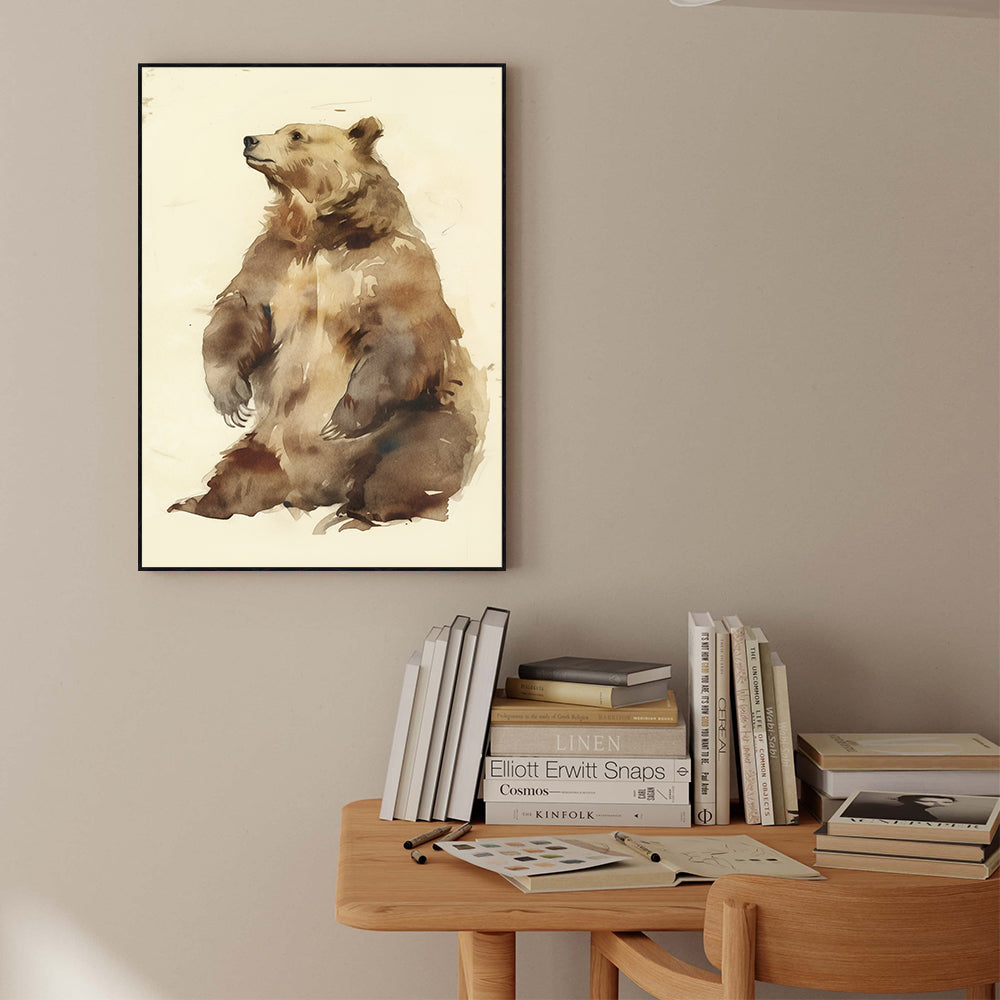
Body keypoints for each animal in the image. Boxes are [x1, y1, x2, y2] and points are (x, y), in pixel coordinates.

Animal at [169, 118, 486, 527]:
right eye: (280, 129)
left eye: (296, 134)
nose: (249, 139)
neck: (323, 231)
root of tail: (315, 490)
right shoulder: (275, 258)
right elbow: (242, 308)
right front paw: (231, 397)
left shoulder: (389, 265)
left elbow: (402, 333)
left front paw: (341, 419)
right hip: (267, 444)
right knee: (239, 471)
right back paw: (197, 505)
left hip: (426, 420)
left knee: (411, 467)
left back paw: (364, 513)